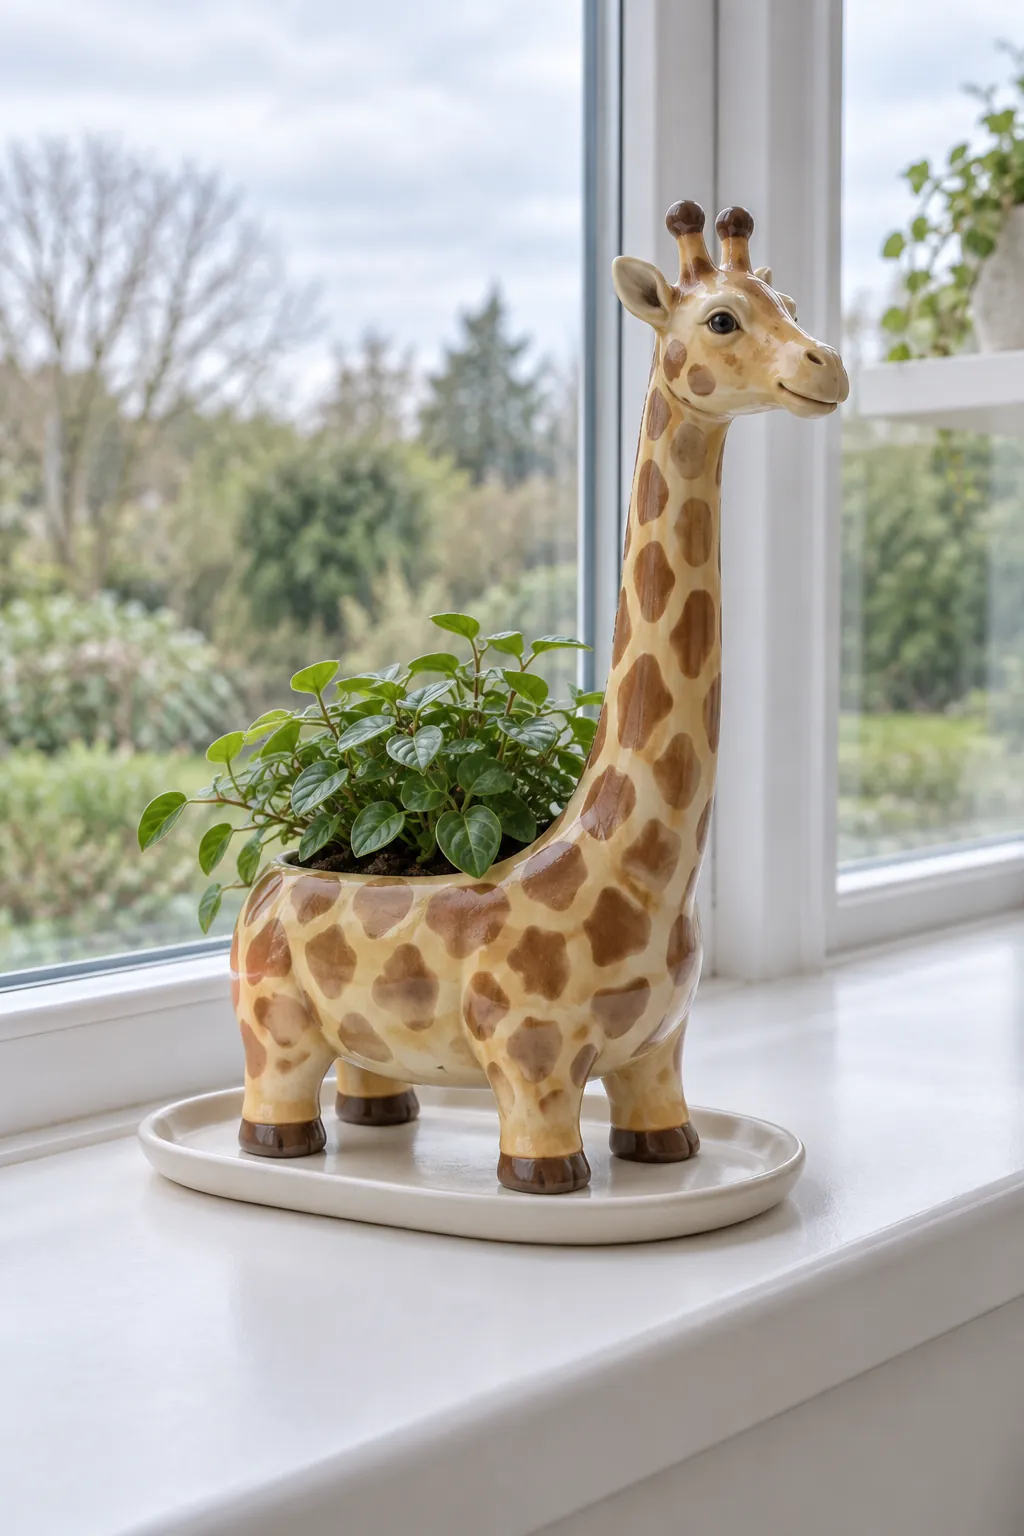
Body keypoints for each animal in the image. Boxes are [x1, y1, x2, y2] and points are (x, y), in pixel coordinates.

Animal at [229, 201, 848, 1195]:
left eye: (787, 303)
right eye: (721, 320)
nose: (826, 365)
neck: (649, 877)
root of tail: (270, 880)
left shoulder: (662, 1048)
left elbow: (665, 1128)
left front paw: (668, 1159)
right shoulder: (532, 1062)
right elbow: (544, 1156)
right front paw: (545, 1185)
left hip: (357, 1034)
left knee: (367, 1073)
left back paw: (380, 1115)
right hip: (273, 1028)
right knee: (276, 1090)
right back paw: (281, 1148)